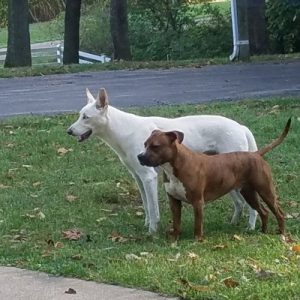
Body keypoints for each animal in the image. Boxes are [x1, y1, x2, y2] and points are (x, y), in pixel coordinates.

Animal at [67, 88, 258, 233]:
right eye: (79, 115)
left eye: (86, 117)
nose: (69, 131)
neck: (125, 130)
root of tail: (241, 127)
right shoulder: (138, 178)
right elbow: (146, 205)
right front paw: (147, 224)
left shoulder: (149, 177)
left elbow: (153, 209)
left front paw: (152, 231)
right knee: (240, 203)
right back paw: (234, 223)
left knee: (252, 206)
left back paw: (250, 227)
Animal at [138, 118, 290, 240]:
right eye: (145, 144)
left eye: (156, 146)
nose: (139, 156)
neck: (175, 166)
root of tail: (256, 154)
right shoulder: (174, 201)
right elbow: (176, 222)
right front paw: (174, 239)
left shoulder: (198, 202)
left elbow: (198, 224)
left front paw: (197, 240)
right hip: (248, 193)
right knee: (264, 212)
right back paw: (263, 232)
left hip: (265, 190)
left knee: (279, 213)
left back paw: (281, 233)